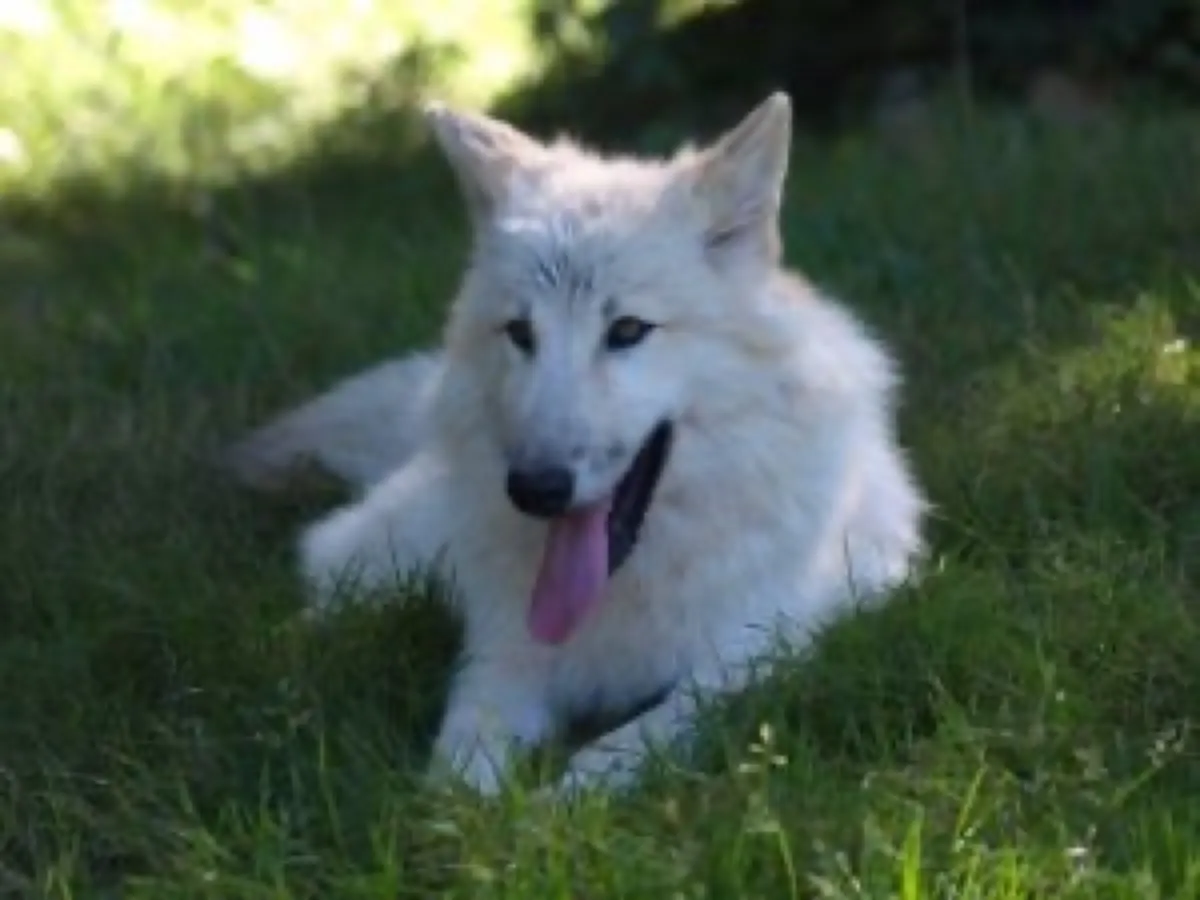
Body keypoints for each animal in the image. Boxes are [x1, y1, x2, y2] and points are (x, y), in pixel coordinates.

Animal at [220, 92, 928, 797]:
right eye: (520, 332)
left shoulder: (755, 653)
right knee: (325, 584)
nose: (535, 488)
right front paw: (466, 817)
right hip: (394, 561)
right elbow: (458, 767)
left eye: (628, 330)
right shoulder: (503, 656)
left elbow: (626, 745)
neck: (628, 584)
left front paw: (548, 811)